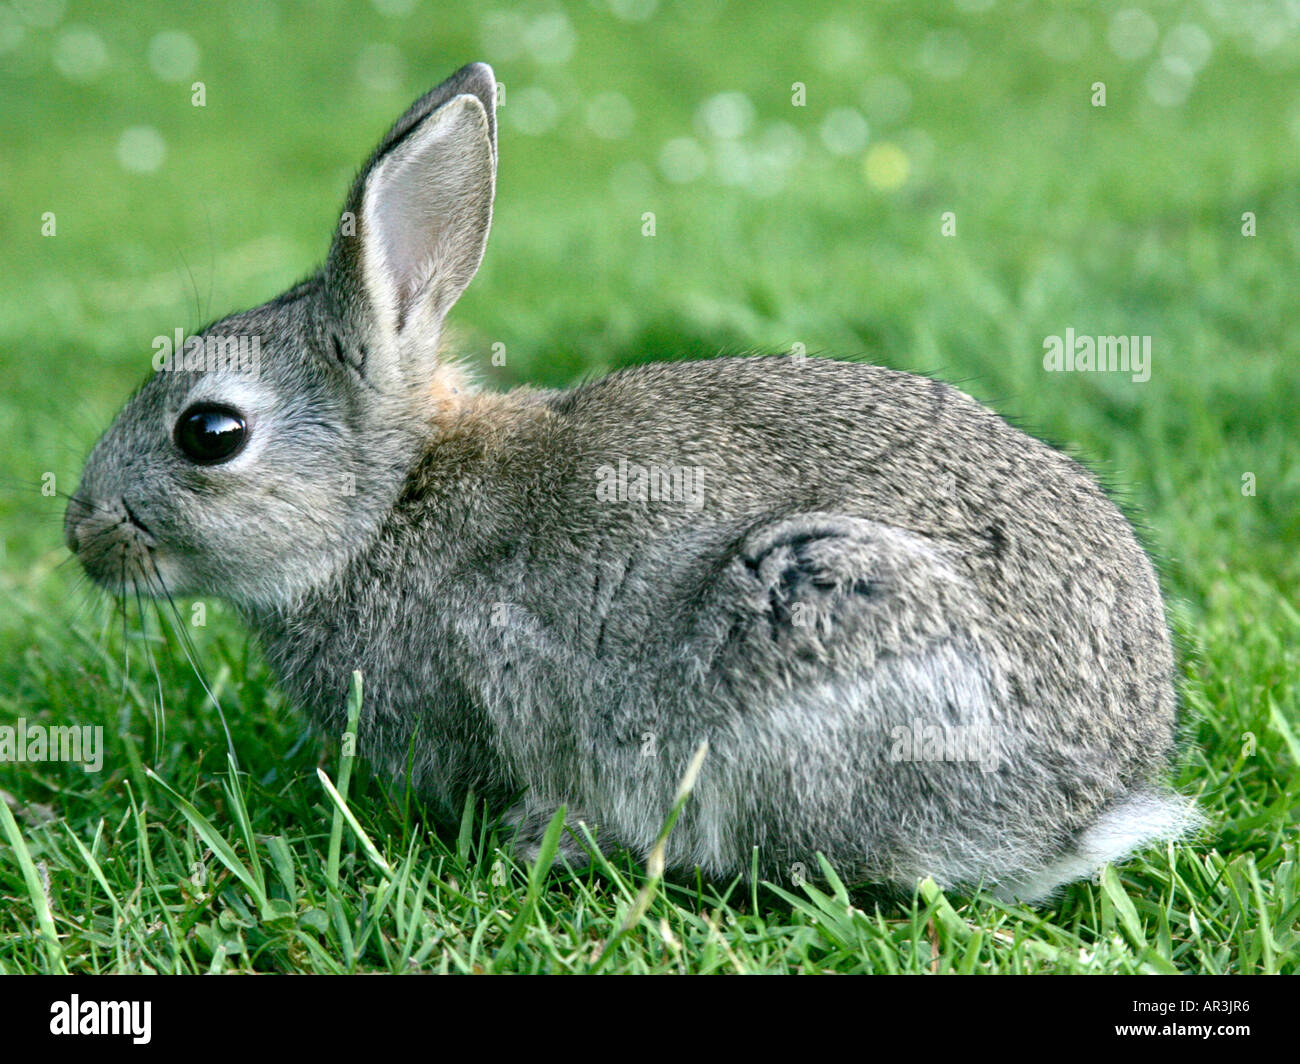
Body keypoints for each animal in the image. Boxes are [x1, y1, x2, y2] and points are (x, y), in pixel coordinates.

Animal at [65, 61, 1199, 903]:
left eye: (209, 432)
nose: (82, 534)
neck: (389, 502)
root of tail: (1077, 809)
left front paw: (530, 841)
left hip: (816, 618)